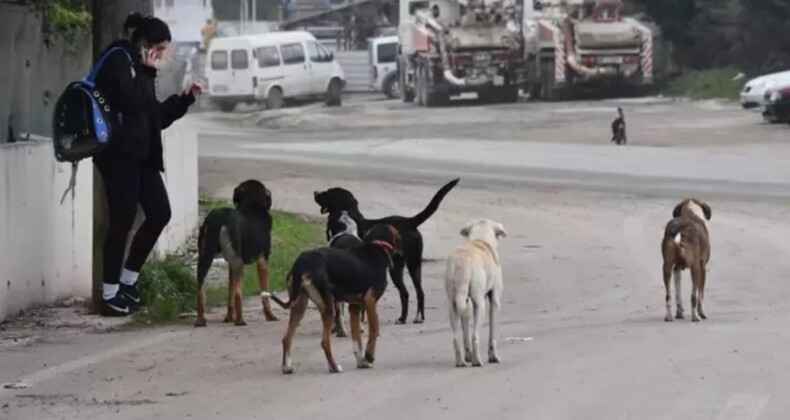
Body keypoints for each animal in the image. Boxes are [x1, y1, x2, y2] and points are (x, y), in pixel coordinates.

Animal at [196, 179, 280, 326]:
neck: (251, 205)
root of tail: (221, 220)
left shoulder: (230, 265)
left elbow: (230, 292)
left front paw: (229, 317)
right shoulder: (263, 260)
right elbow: (264, 293)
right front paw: (270, 315)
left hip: (205, 256)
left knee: (201, 288)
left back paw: (201, 319)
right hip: (238, 262)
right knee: (238, 293)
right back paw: (240, 320)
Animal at [264, 223, 402, 374]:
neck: (376, 247)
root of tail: (302, 263)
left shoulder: (354, 307)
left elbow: (356, 340)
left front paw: (361, 362)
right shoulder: (370, 301)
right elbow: (374, 330)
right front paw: (369, 355)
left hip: (299, 305)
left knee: (286, 338)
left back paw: (287, 367)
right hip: (328, 305)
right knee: (324, 342)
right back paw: (334, 367)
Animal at [446, 220, 508, 368]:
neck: (480, 240)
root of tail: (462, 262)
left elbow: (465, 332)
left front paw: (467, 356)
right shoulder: (495, 302)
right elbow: (493, 334)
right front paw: (493, 357)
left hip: (453, 304)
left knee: (455, 337)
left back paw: (461, 362)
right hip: (480, 305)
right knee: (475, 336)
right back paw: (477, 360)